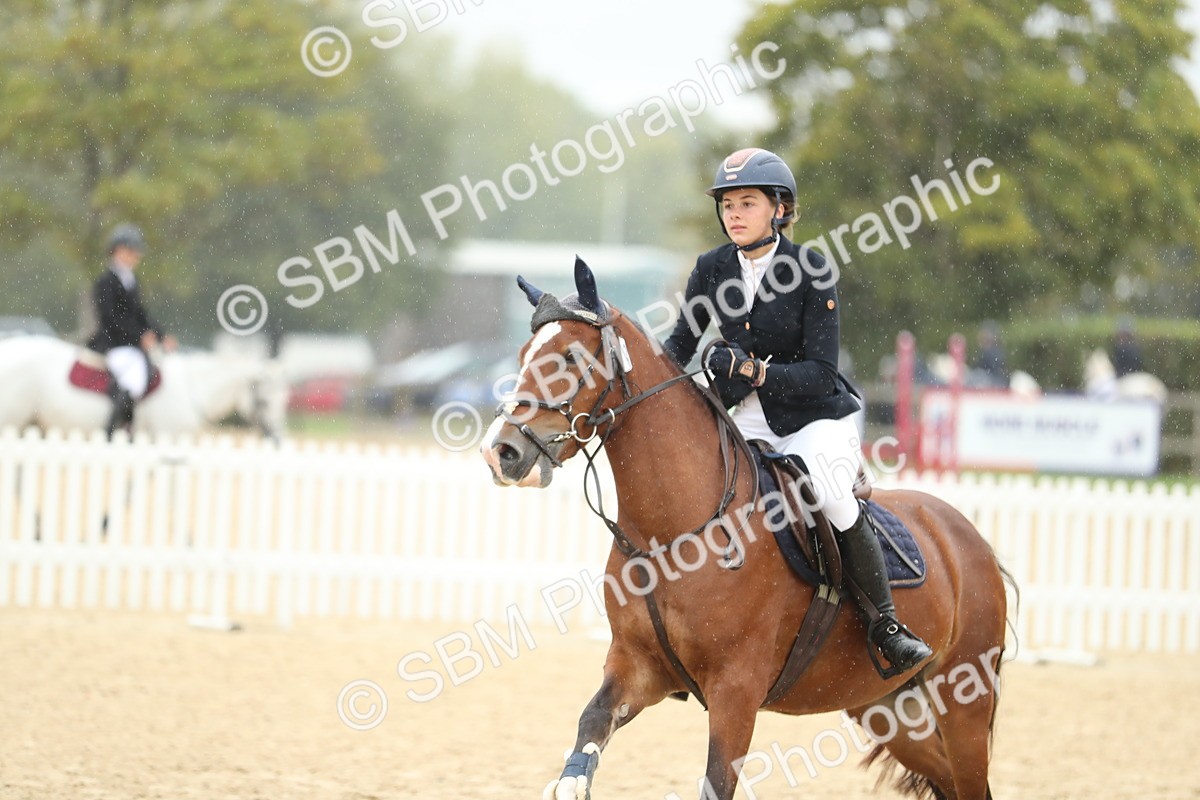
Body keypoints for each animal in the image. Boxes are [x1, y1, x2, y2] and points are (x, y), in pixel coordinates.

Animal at [480, 259, 1011, 800]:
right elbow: (591, 724)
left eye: (570, 356)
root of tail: (969, 537)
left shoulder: (736, 692)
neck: (672, 535)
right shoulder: (637, 667)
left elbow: (717, 780)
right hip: (884, 708)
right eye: (524, 355)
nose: (500, 452)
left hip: (962, 698)